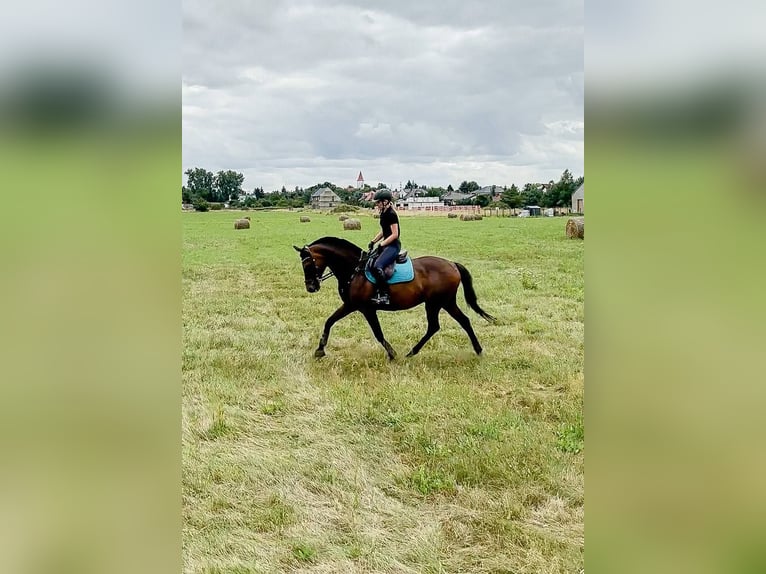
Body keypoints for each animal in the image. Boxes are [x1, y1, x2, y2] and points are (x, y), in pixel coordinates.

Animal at [293, 236, 496, 360]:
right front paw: (320, 350)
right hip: (440, 303)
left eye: (308, 264)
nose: (311, 287)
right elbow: (329, 321)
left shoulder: (365, 308)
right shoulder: (350, 305)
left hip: (439, 302)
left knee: (449, 323)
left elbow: (378, 333)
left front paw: (392, 354)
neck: (354, 270)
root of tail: (452, 264)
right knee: (449, 324)